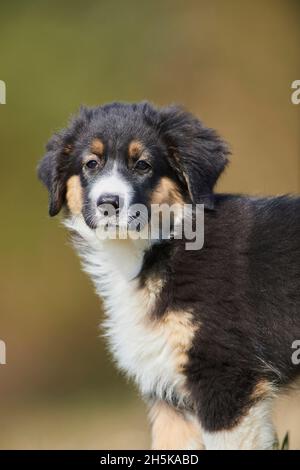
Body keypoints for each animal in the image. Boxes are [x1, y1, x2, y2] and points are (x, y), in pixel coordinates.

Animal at [37, 102, 300, 448]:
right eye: (91, 164)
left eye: (143, 165)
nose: (108, 203)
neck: (157, 249)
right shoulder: (168, 395)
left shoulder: (225, 379)